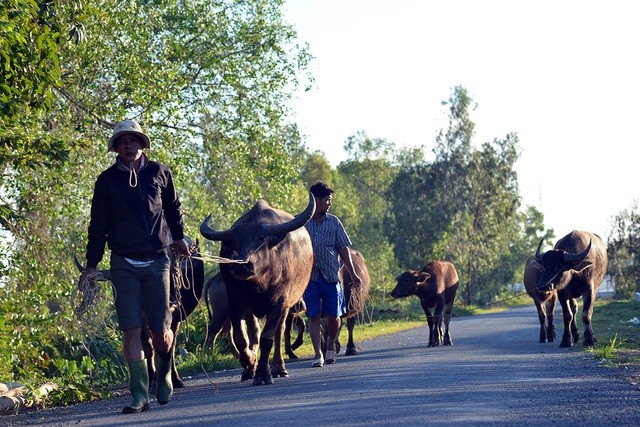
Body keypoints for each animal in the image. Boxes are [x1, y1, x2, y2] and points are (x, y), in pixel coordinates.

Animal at [74, 239, 205, 390]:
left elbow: (167, 345)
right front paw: (151, 379)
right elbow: (147, 346)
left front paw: (172, 379)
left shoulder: (172, 318)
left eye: (172, 279)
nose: (172, 300)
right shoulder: (140, 319)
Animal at [198, 192, 312, 386]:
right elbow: (241, 338)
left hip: (284, 307)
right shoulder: (236, 302)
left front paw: (263, 374)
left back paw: (278, 367)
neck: (259, 283)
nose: (242, 265)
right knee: (239, 332)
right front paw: (250, 361)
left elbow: (268, 338)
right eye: (234, 241)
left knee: (277, 332)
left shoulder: (280, 303)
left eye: (261, 238)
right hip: (229, 311)